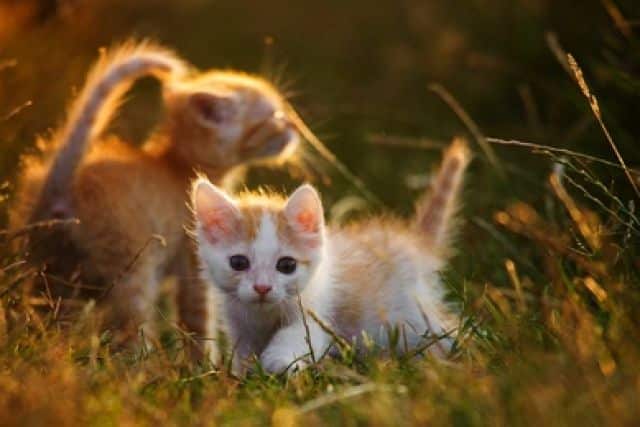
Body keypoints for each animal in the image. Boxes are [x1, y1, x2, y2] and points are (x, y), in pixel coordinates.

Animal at [9, 40, 300, 356]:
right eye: (273, 117)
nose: (294, 126)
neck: (178, 166)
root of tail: (64, 180)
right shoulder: (195, 264)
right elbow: (198, 321)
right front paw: (206, 366)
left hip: (48, 272)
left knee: (49, 320)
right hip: (132, 271)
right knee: (130, 331)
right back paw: (142, 364)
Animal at [190, 140, 470, 374]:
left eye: (287, 265)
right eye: (239, 263)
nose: (262, 288)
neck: (264, 315)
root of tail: (414, 243)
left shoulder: (317, 308)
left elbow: (299, 336)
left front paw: (278, 361)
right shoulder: (240, 325)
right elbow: (245, 354)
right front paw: (244, 379)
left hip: (413, 315)